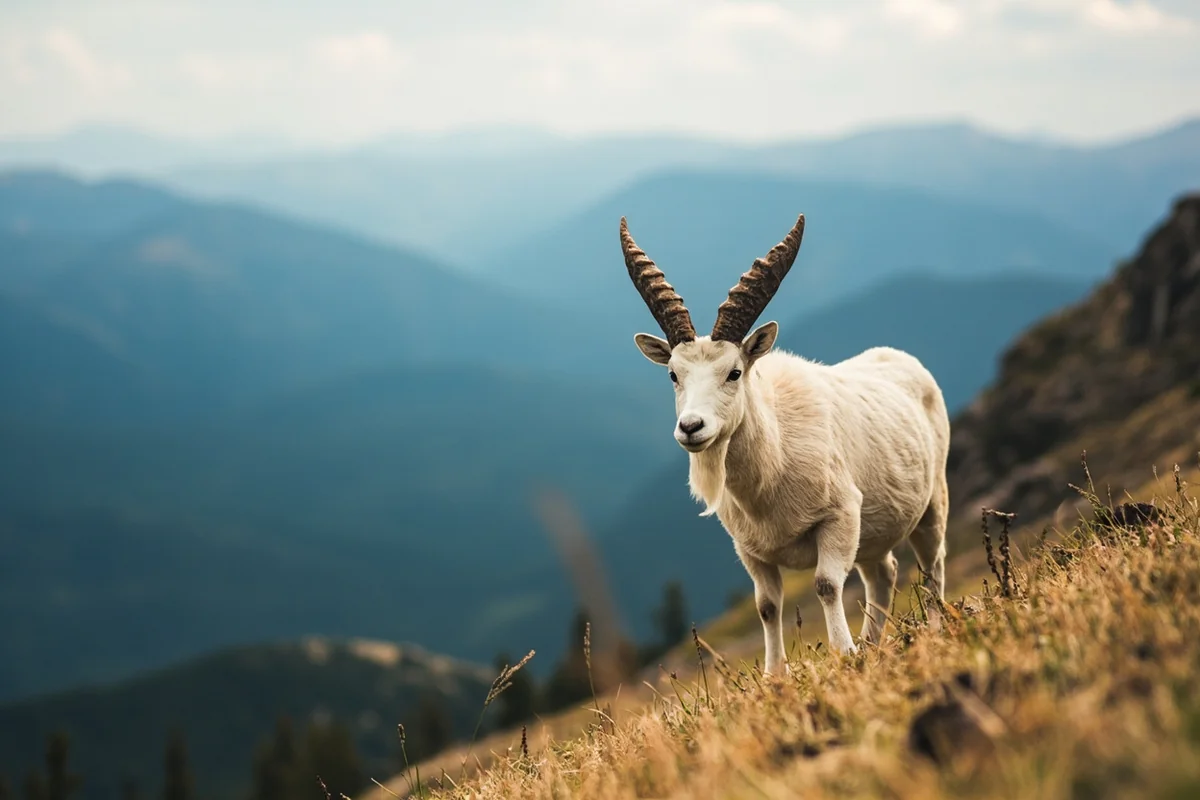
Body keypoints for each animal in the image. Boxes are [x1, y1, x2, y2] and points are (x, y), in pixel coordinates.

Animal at [619, 214, 950, 674]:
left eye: (734, 372)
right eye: (673, 374)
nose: (691, 427)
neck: (772, 466)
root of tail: (902, 360)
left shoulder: (840, 516)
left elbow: (826, 584)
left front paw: (843, 655)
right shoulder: (750, 550)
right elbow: (766, 606)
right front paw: (775, 674)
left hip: (932, 499)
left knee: (932, 561)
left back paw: (930, 630)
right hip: (872, 533)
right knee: (883, 571)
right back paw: (873, 644)